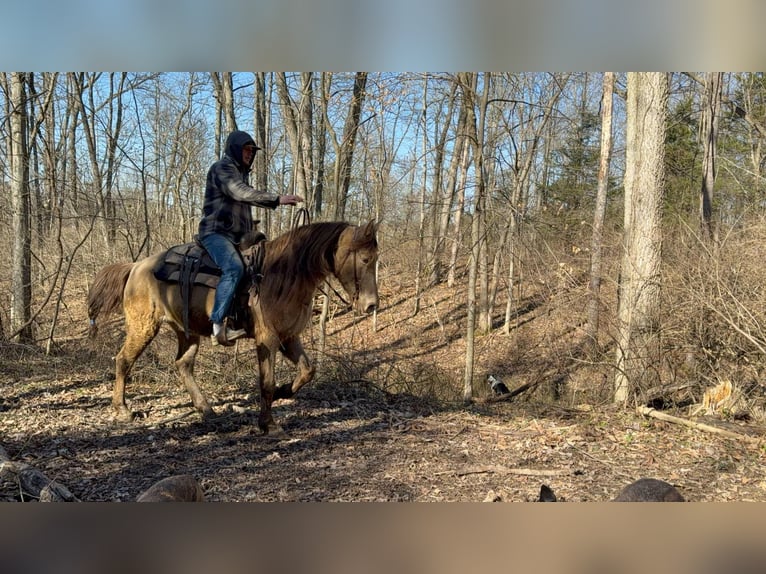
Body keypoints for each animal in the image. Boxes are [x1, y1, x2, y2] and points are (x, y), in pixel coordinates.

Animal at [88, 222, 380, 436]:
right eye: (366, 259)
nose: (371, 305)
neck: (283, 275)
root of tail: (135, 266)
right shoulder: (267, 339)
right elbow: (266, 383)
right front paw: (268, 424)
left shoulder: (289, 337)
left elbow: (307, 371)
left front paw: (285, 391)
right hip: (144, 327)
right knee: (123, 360)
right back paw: (122, 409)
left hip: (187, 331)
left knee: (183, 364)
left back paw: (205, 409)